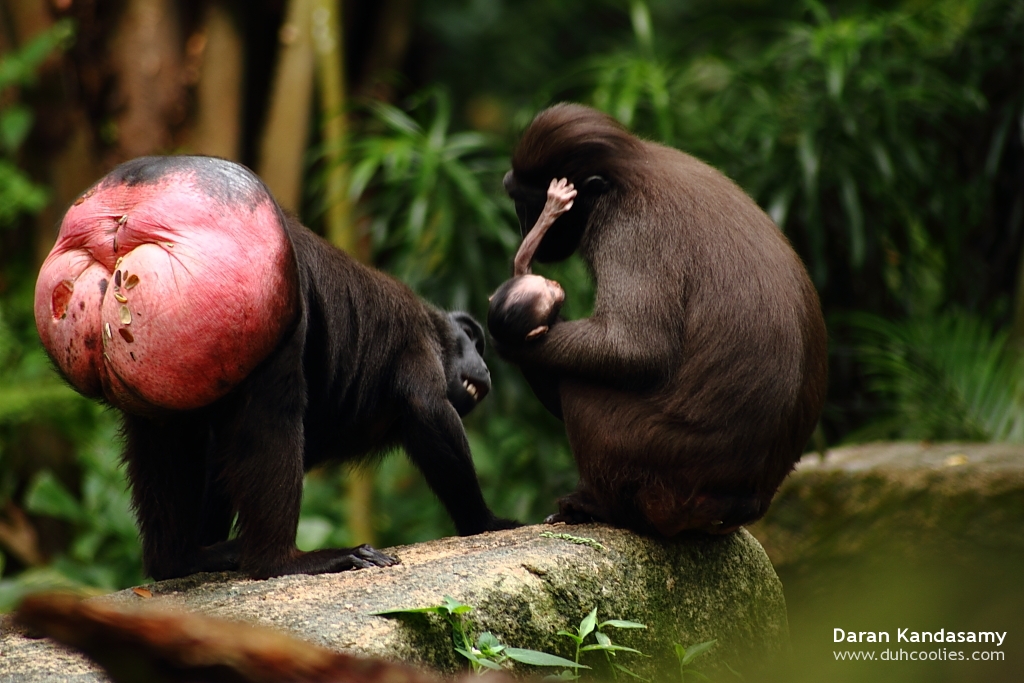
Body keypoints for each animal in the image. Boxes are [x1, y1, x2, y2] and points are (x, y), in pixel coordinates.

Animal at [35, 156, 516, 581]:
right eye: (475, 342)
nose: (486, 367)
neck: (437, 328)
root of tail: (128, 208)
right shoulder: (417, 343)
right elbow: (428, 410)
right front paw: (486, 521)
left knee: (164, 428)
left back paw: (177, 561)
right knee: (275, 401)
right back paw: (281, 562)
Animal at [487, 180, 577, 344]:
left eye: (544, 281)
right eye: (551, 295)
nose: (556, 284)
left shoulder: (519, 275)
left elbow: (521, 261)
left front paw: (550, 209)